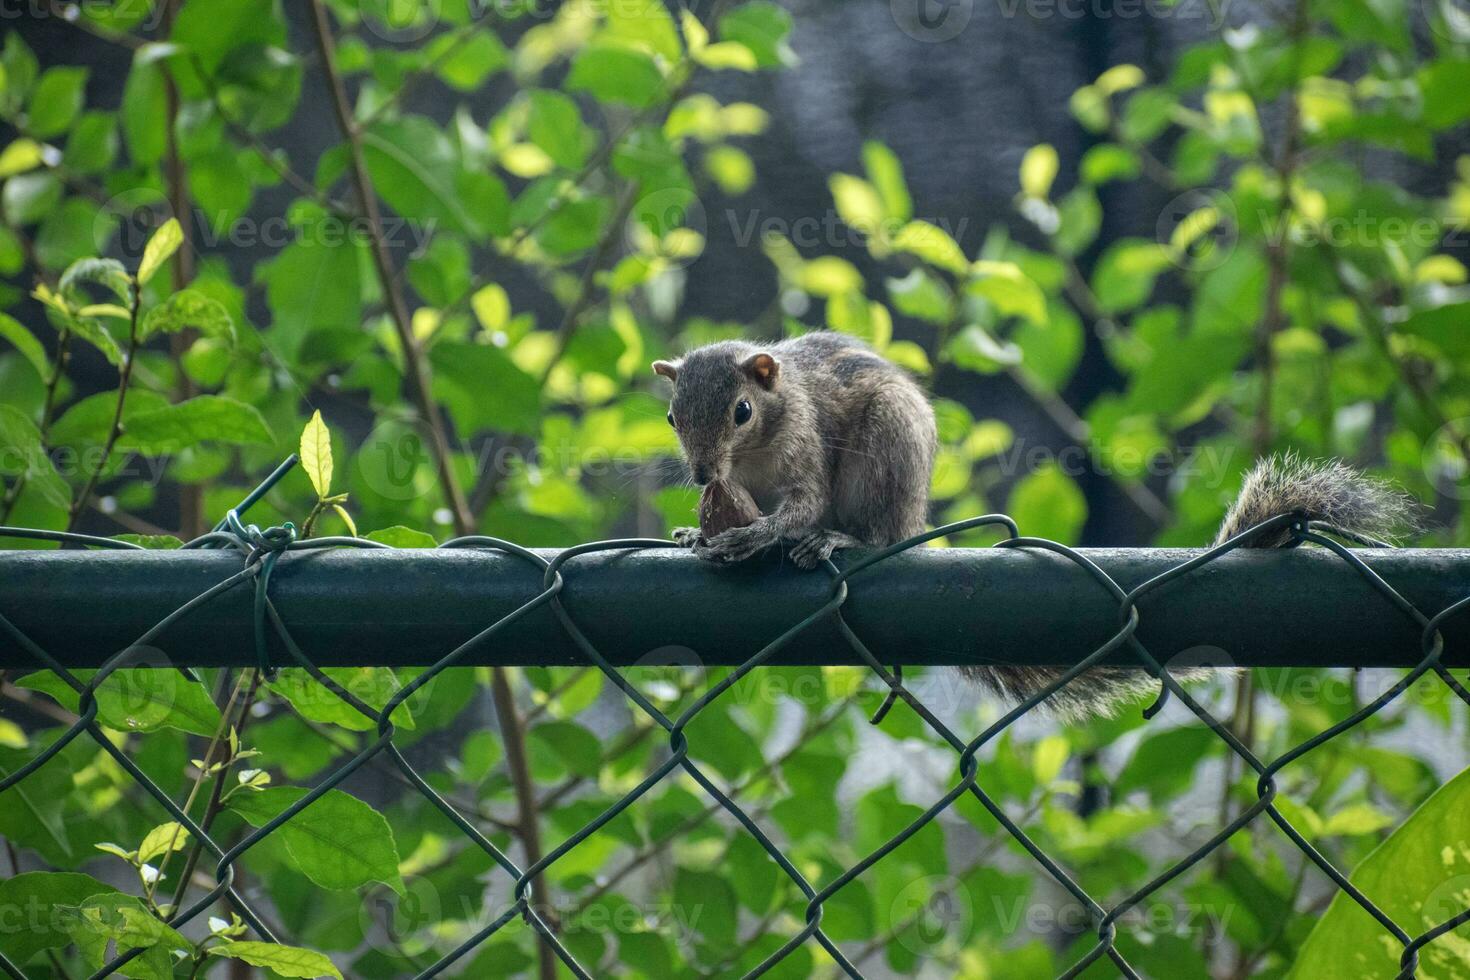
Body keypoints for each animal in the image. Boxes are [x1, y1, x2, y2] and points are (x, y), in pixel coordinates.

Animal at [652, 333, 1411, 717]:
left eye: (742, 411)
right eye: (671, 416)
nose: (701, 471)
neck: (751, 460)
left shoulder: (807, 445)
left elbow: (799, 508)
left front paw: (755, 534)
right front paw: (696, 534)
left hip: (887, 454)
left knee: (882, 538)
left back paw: (842, 538)